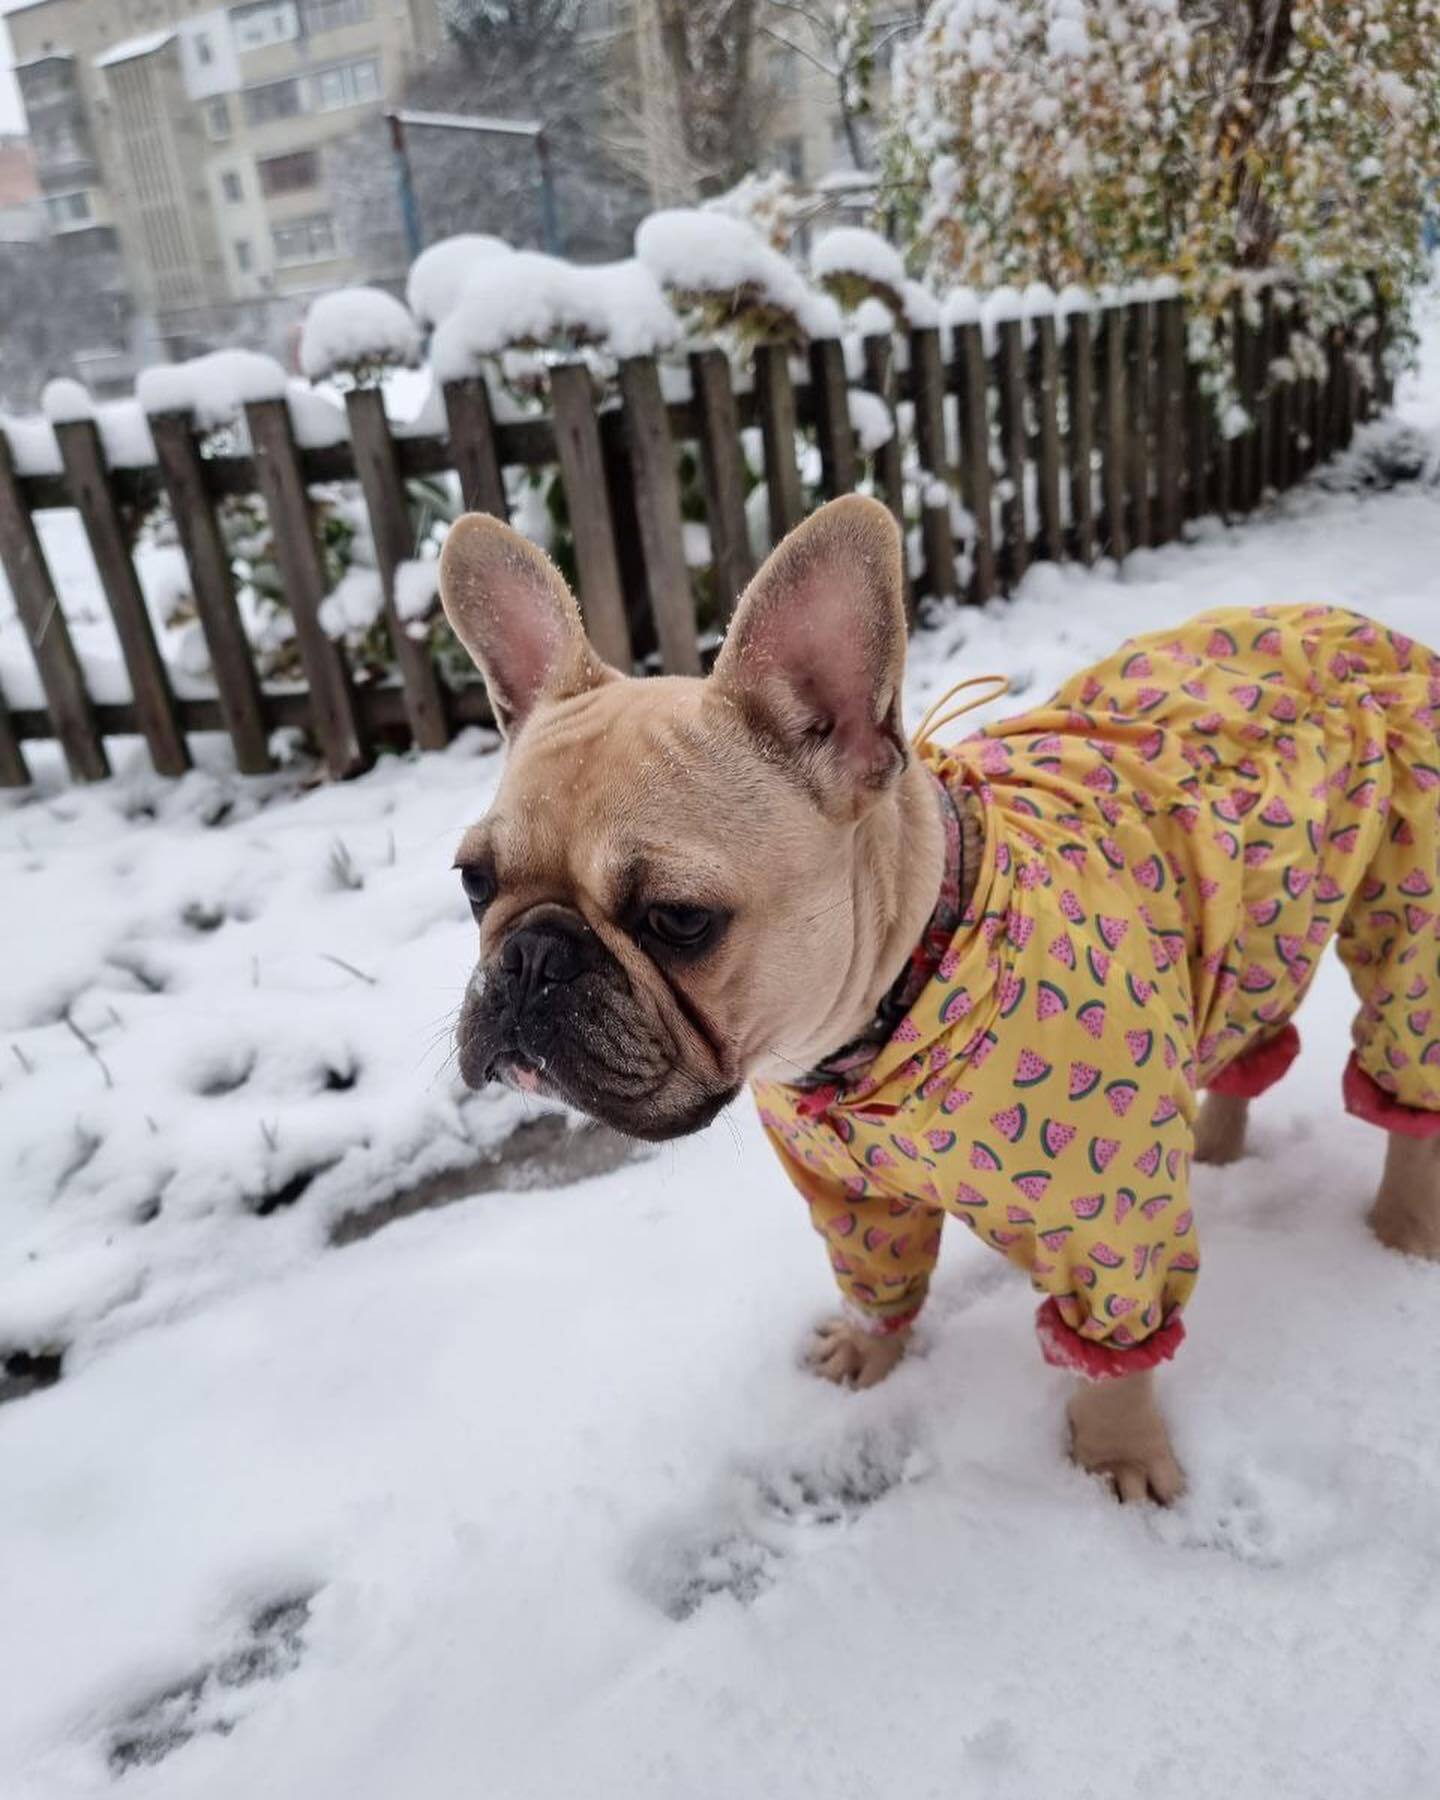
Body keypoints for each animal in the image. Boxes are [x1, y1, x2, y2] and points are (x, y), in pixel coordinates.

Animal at [435, 493, 1440, 1504]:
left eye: (679, 919)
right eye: (475, 882)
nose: (530, 959)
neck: (906, 999)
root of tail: (1353, 623)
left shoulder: (1109, 1228)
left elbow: (1117, 1351)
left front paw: (1118, 1455)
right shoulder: (851, 1199)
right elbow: (877, 1277)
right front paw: (867, 1354)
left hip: (1407, 926)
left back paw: (1401, 1234)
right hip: (1261, 922)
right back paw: (1223, 1148)